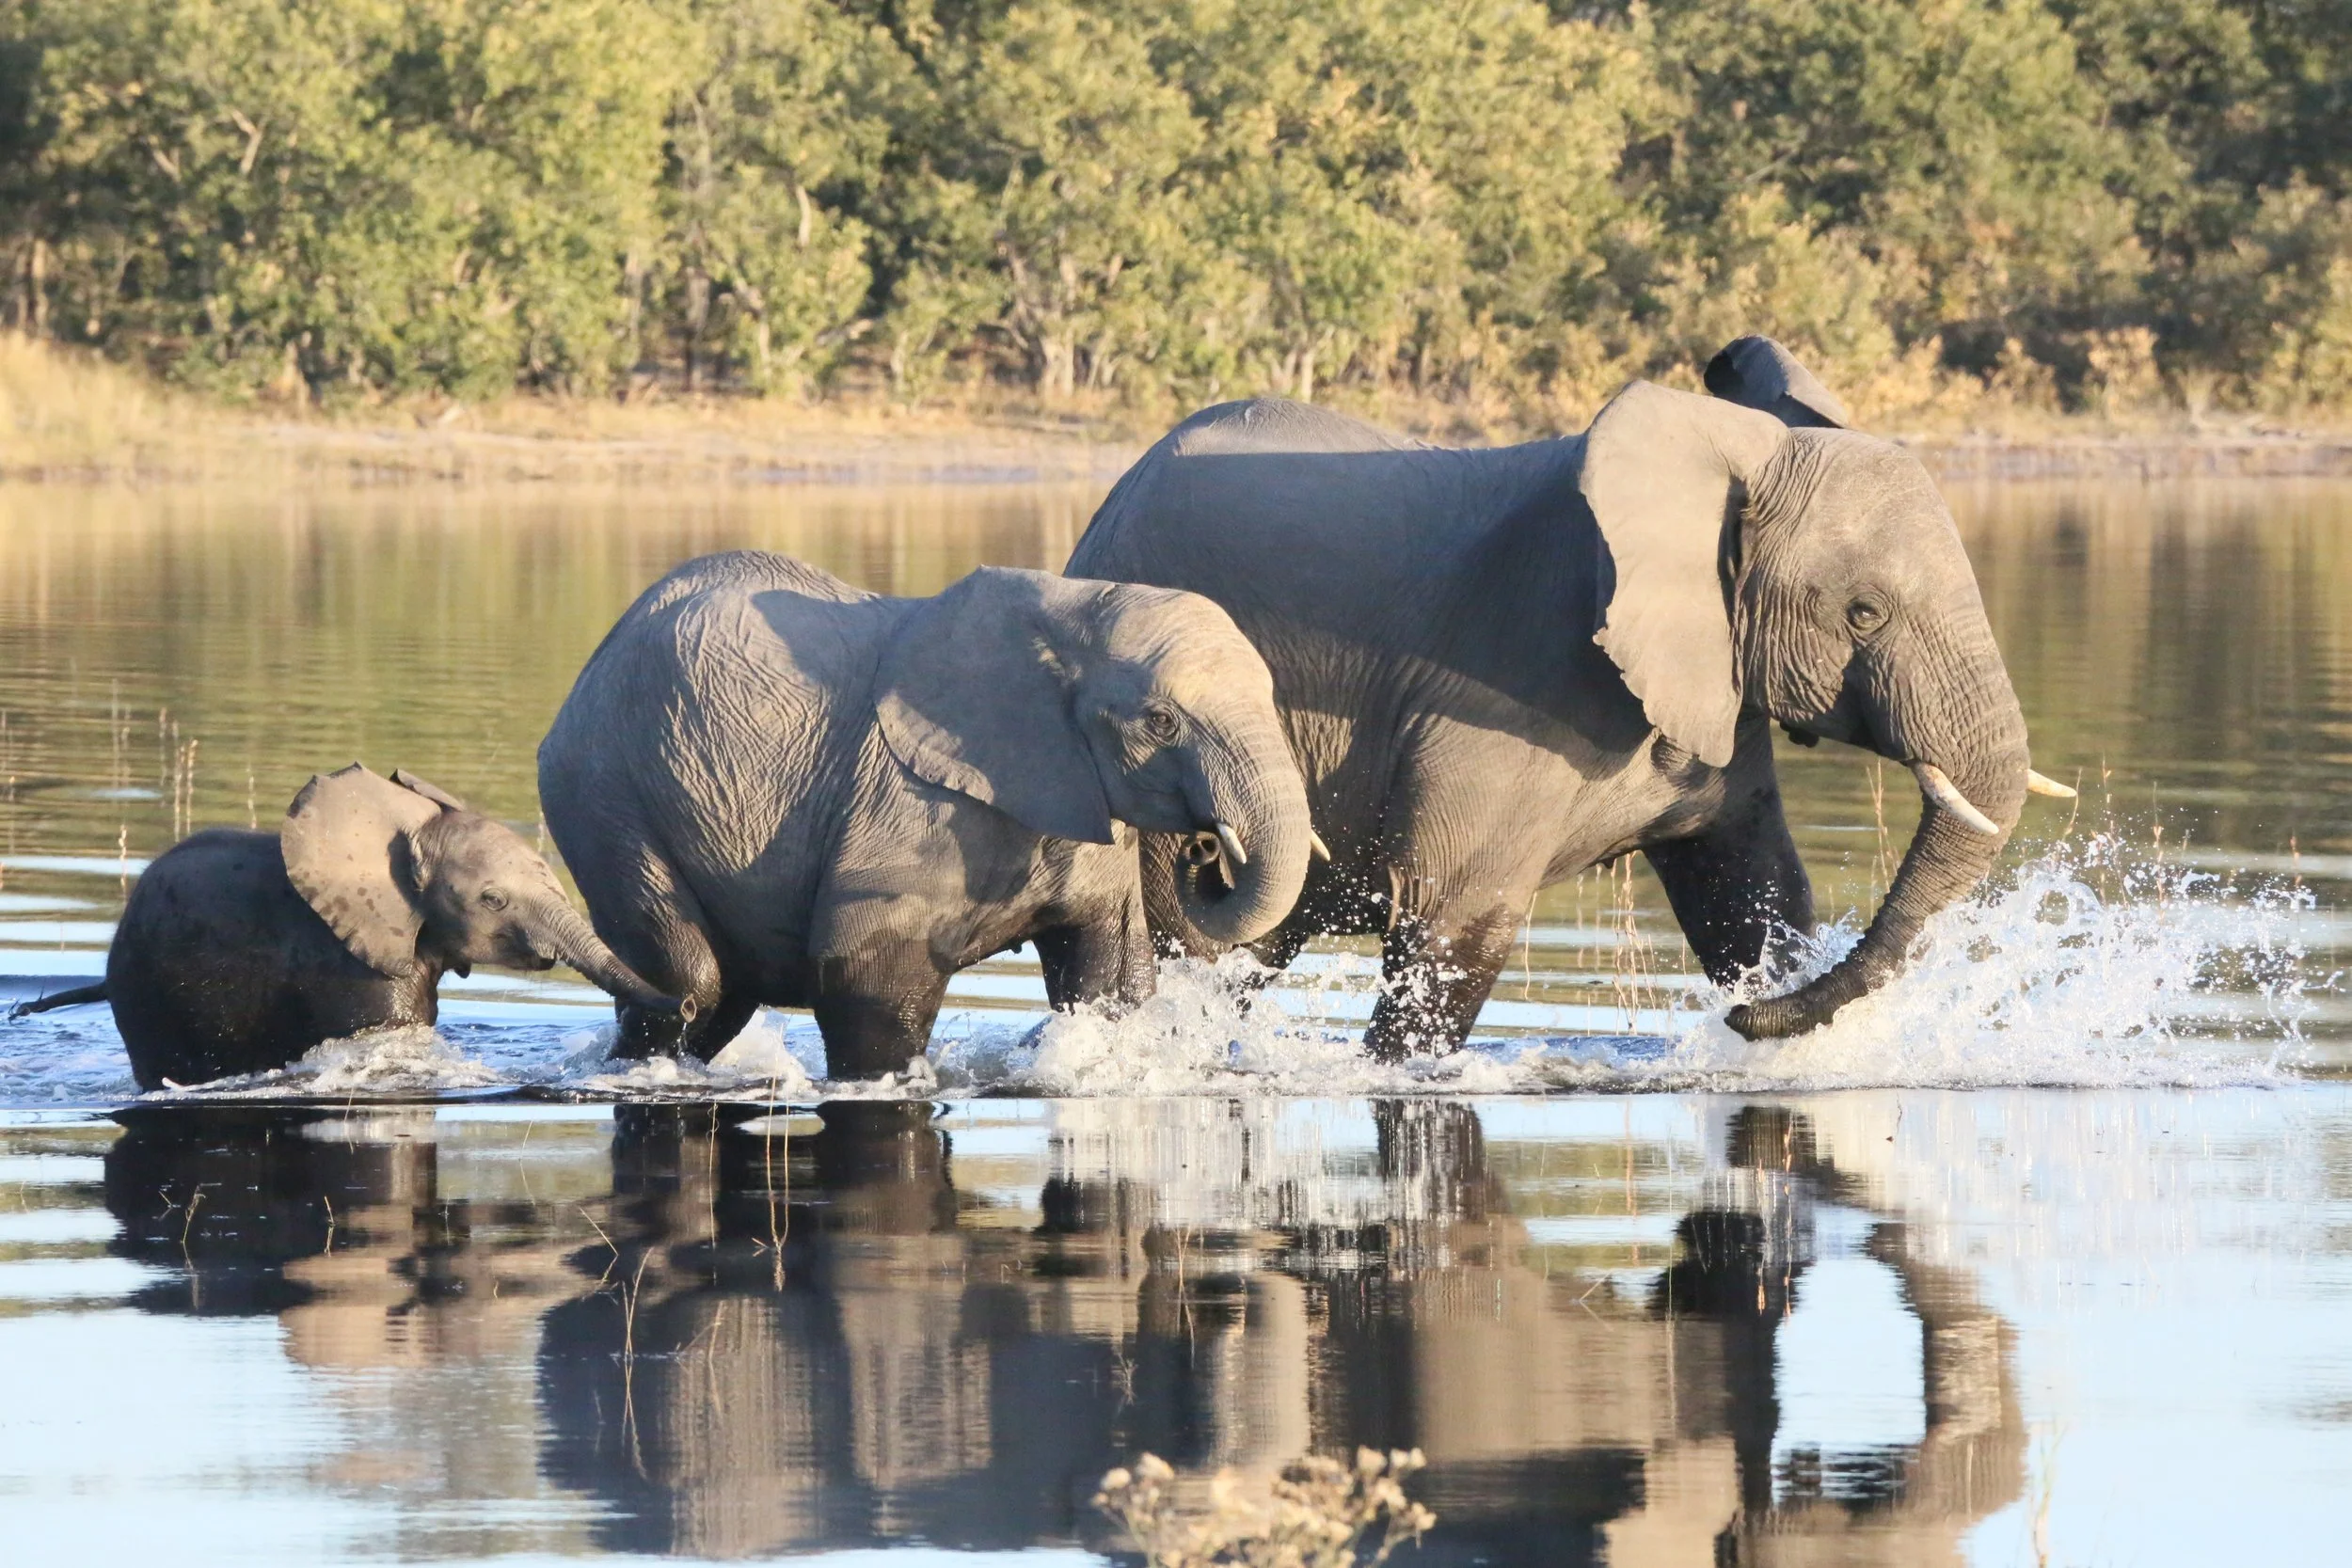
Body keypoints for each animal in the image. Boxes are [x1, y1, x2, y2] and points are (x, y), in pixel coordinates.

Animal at [536, 552, 1314, 1079]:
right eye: (1160, 720)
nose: (1207, 848)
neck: (1070, 612)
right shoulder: (907, 803)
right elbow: (868, 974)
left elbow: (1112, 975)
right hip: (602, 791)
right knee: (692, 979)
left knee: (719, 993)